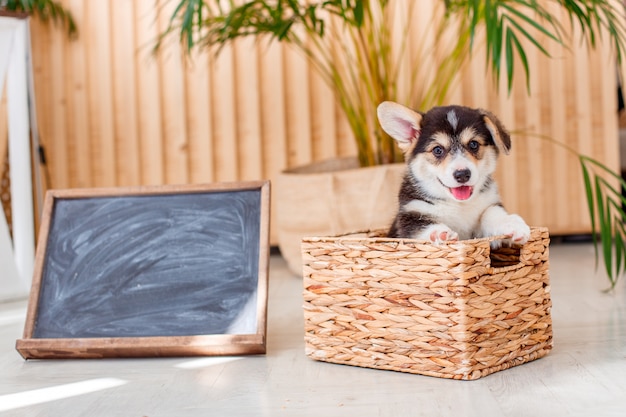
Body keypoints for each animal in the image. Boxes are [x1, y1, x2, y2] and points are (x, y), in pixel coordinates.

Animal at [376, 100, 528, 244]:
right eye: (438, 150)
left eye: (473, 144)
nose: (462, 175)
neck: (458, 205)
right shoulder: (410, 215)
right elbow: (422, 225)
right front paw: (439, 233)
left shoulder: (489, 205)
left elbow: (491, 212)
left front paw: (511, 223)